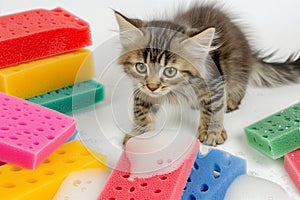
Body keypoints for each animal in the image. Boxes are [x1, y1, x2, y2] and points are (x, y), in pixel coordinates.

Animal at [113, 3, 300, 146]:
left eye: (170, 71)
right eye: (141, 67)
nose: (152, 87)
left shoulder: (214, 81)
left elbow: (213, 107)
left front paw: (213, 132)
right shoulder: (141, 90)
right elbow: (141, 112)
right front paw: (139, 134)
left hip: (235, 65)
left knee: (239, 84)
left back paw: (230, 101)